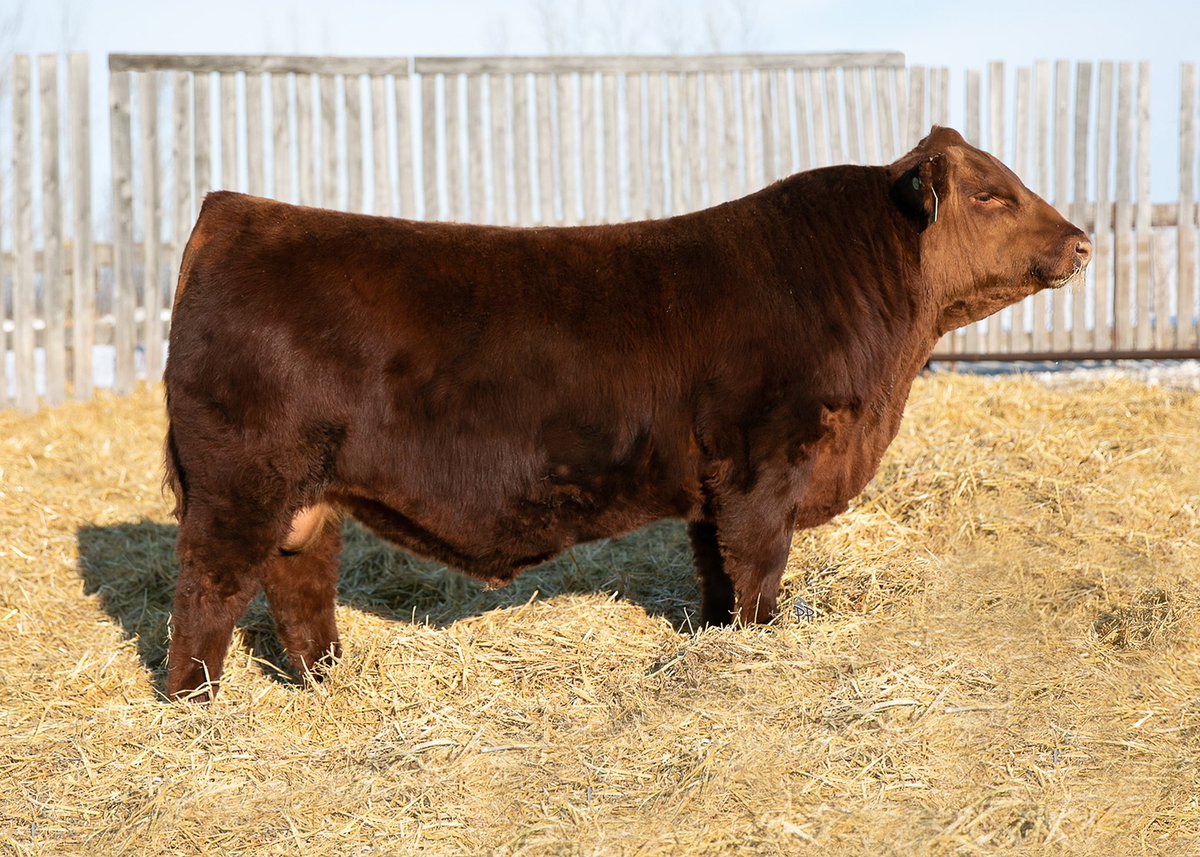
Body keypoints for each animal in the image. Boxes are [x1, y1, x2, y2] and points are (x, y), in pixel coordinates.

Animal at [162, 126, 1090, 700]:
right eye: (992, 195)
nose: (1082, 240)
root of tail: (232, 211)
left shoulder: (716, 486)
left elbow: (718, 574)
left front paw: (719, 644)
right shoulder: (764, 466)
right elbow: (759, 572)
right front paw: (759, 647)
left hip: (306, 496)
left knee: (299, 588)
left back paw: (326, 683)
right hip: (237, 485)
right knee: (208, 593)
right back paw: (194, 710)